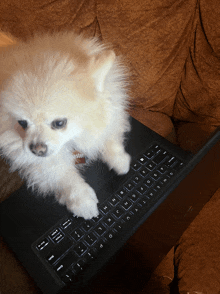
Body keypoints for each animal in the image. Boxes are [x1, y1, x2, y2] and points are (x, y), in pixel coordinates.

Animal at [0, 32, 131, 219]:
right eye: (22, 123)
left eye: (59, 123)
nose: (37, 149)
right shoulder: (35, 159)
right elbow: (64, 175)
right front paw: (82, 201)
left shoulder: (111, 108)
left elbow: (110, 136)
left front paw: (120, 160)